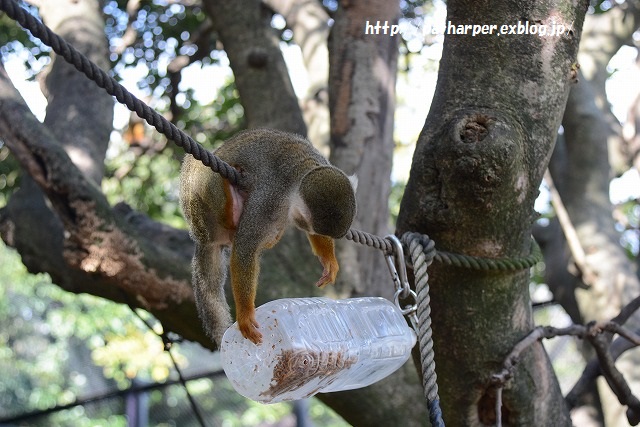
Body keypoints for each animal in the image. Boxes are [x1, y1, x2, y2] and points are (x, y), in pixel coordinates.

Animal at [180, 129, 358, 346]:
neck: (302, 171)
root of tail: (203, 237)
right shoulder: (270, 195)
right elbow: (246, 246)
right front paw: (245, 314)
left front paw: (328, 258)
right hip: (197, 203)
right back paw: (233, 205)